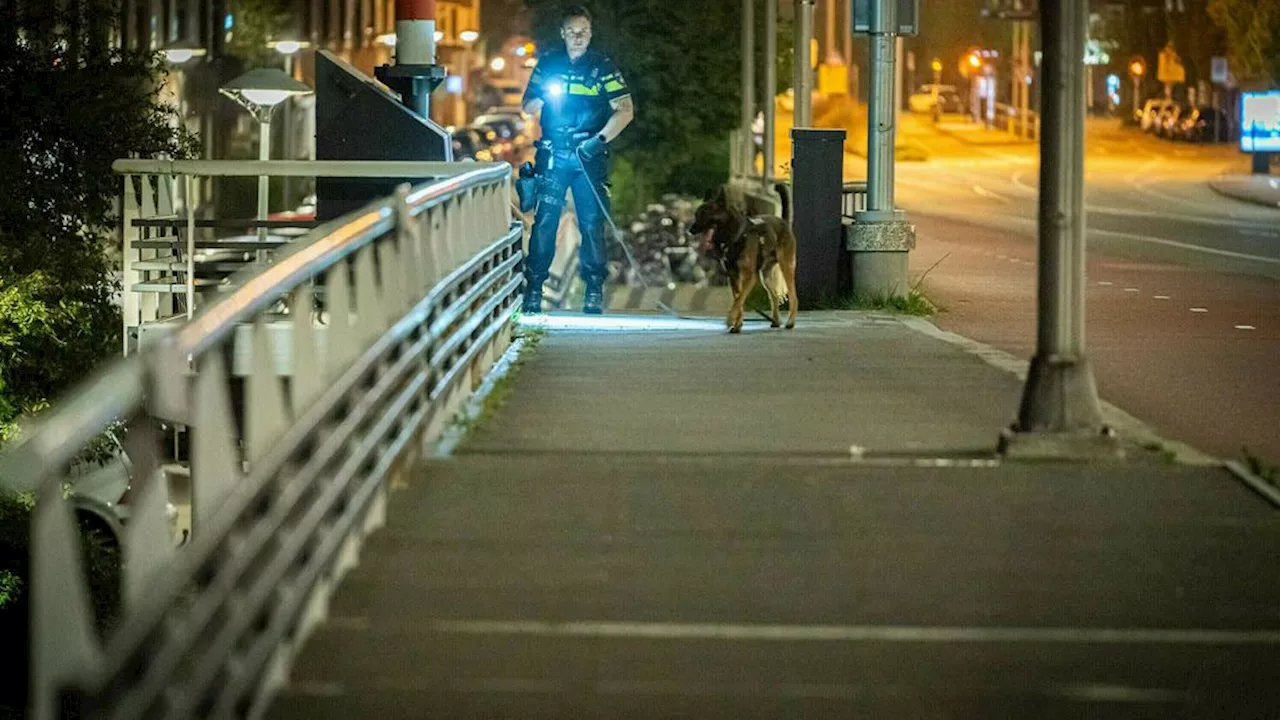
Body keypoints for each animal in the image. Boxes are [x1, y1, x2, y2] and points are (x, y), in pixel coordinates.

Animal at [696, 184, 793, 330]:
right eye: (696, 215)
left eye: (705, 214)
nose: (690, 230)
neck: (735, 234)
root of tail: (783, 221)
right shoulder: (733, 277)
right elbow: (738, 299)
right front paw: (737, 323)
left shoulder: (749, 277)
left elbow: (739, 299)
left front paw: (730, 320)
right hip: (765, 277)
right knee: (774, 296)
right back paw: (776, 321)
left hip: (786, 267)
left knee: (794, 297)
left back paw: (791, 321)